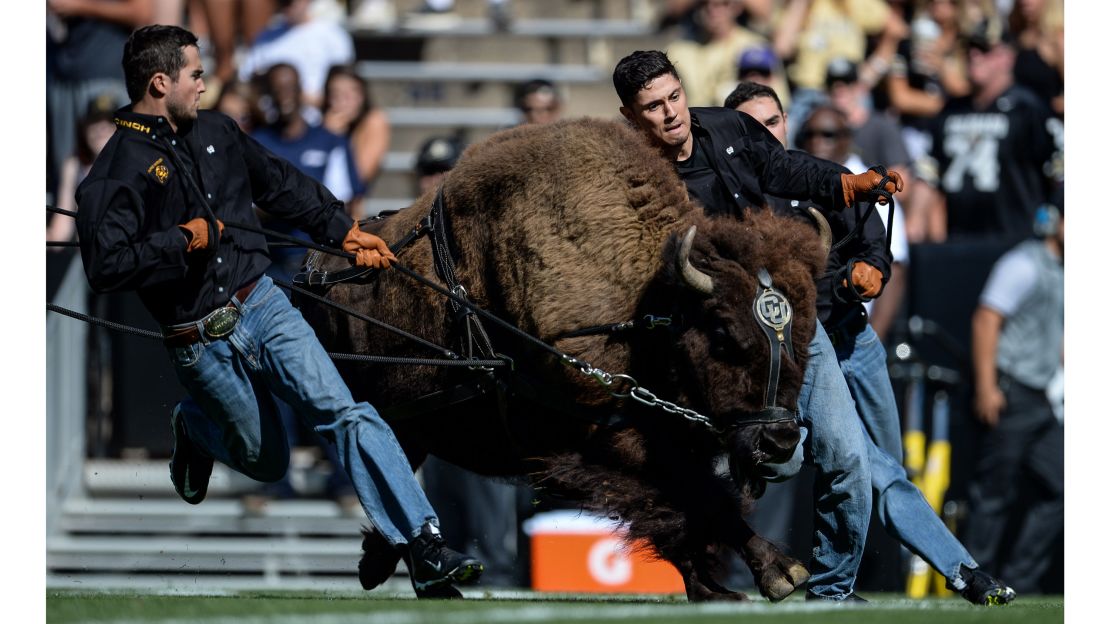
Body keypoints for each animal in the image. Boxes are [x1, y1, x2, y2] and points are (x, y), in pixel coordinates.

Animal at [299, 115, 830, 599]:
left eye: (803, 334)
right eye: (722, 333)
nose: (780, 440)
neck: (647, 305)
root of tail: (314, 270)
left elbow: (691, 505)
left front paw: (719, 587)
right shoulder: (605, 438)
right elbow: (695, 499)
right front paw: (781, 573)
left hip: (412, 423)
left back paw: (402, 571)